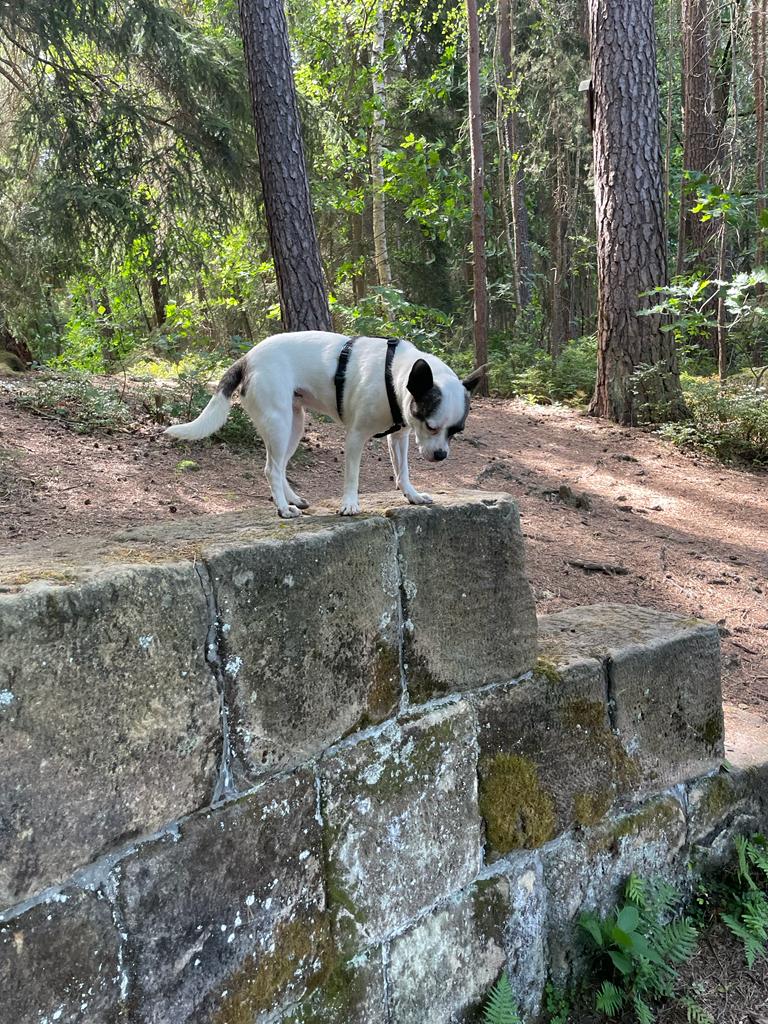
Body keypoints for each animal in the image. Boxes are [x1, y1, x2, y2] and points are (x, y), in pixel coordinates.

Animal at [165, 331, 487, 518]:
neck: (393, 372)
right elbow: (352, 476)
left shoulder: (400, 436)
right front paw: (350, 504)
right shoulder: (355, 437)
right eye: (432, 426)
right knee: (271, 468)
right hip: (279, 424)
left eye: (456, 431)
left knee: (279, 467)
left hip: (294, 425)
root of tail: (247, 358)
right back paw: (283, 508)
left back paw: (292, 499)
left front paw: (413, 495)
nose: (441, 455)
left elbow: (402, 471)